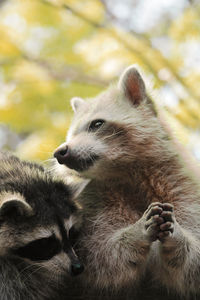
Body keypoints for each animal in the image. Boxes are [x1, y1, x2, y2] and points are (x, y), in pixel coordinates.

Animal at [53, 66, 200, 300]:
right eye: (71, 134)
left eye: (97, 124)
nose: (60, 152)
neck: (126, 171)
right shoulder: (95, 202)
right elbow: (98, 257)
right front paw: (134, 233)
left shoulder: (183, 187)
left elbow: (193, 266)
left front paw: (179, 237)